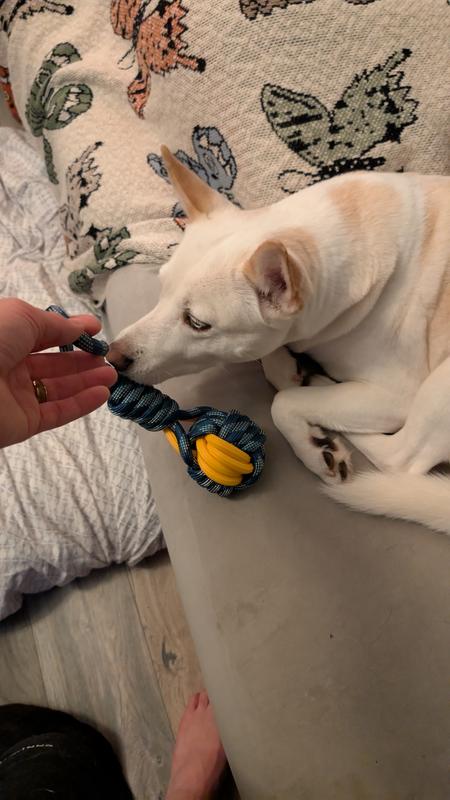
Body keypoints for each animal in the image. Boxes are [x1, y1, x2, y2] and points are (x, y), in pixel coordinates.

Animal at [108, 147, 450, 536]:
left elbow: (282, 403)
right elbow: (273, 357)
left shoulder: (397, 394)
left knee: (400, 460)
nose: (112, 356)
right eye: (162, 290)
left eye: (197, 323)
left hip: (440, 385)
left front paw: (314, 445)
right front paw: (288, 368)